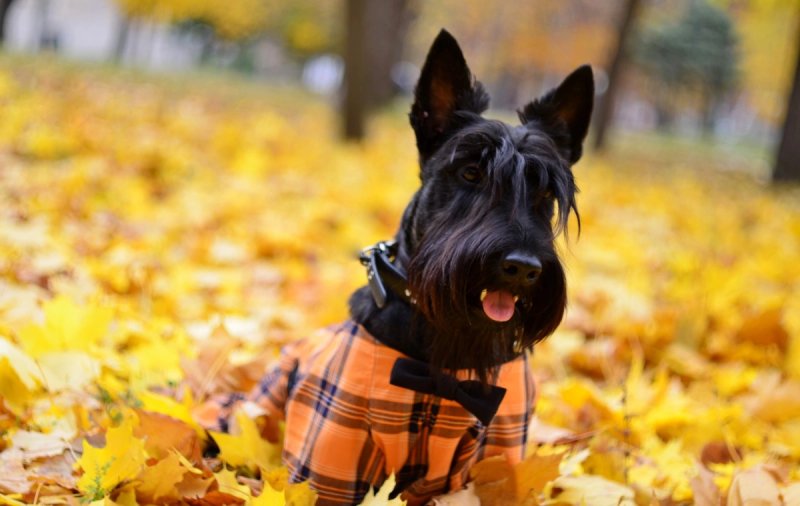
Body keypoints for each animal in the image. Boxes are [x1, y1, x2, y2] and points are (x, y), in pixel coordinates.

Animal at [205, 28, 592, 506]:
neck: (447, 354)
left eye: (545, 192)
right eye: (470, 173)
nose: (521, 267)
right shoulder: (332, 457)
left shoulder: (500, 455)